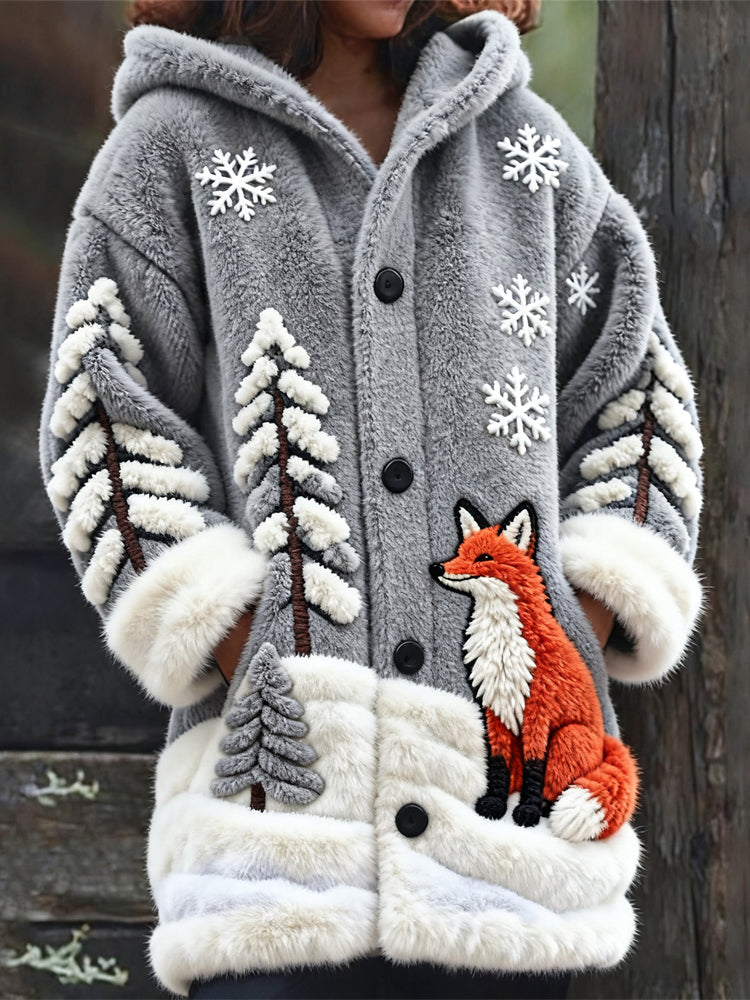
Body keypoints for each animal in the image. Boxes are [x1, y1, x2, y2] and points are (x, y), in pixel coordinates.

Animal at [429, 499, 638, 842]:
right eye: (460, 551)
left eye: (484, 557)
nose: (437, 568)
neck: (502, 641)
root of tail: (604, 743)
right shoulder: (494, 706)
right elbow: (498, 762)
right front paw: (494, 803)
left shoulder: (539, 709)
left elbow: (534, 765)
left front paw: (525, 811)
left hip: (568, 735)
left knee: (557, 786)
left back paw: (545, 808)